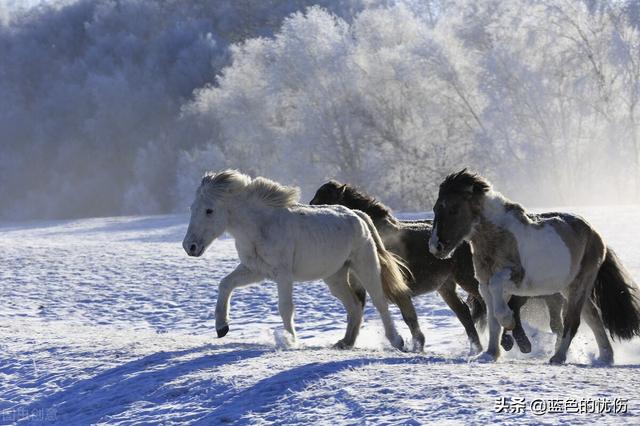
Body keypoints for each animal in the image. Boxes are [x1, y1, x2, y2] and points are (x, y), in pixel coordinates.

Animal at [180, 170, 410, 350]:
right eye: (191, 208)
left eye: (209, 210)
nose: (190, 247)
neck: (260, 226)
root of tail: (358, 214)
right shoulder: (255, 270)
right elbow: (225, 284)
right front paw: (222, 327)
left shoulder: (283, 274)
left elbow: (285, 307)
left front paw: (290, 341)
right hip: (335, 277)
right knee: (354, 306)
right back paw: (345, 343)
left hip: (365, 266)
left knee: (379, 302)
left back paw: (397, 341)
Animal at [312, 181, 564, 354]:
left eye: (321, 198)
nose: (311, 209)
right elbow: (357, 311)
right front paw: (346, 342)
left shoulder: (399, 290)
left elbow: (408, 317)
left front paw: (415, 345)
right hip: (447, 287)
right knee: (466, 313)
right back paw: (479, 347)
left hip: (469, 281)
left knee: (500, 304)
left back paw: (514, 342)